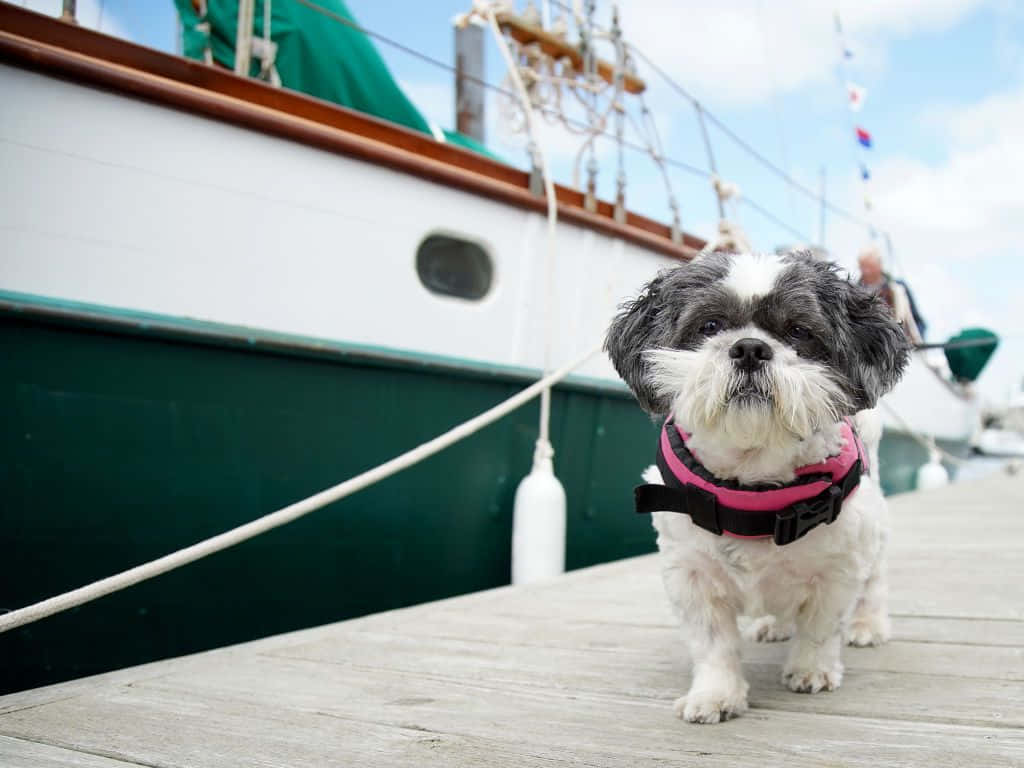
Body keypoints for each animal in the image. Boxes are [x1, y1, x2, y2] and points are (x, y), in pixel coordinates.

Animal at [602, 252, 909, 729]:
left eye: (798, 331)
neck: (753, 483)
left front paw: (811, 669)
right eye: (709, 325)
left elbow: (821, 627)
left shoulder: (839, 568)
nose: (749, 347)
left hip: (873, 541)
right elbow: (712, 644)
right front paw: (715, 694)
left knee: (874, 584)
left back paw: (868, 625)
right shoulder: (691, 575)